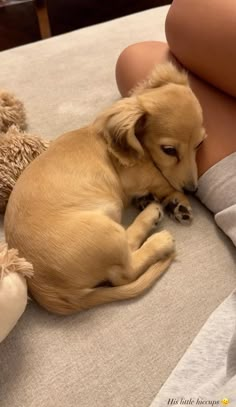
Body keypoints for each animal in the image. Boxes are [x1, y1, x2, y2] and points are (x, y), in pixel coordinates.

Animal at [4, 63, 206, 316]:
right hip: (106, 232)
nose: (192, 189)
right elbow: (161, 179)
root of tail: (49, 293)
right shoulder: (140, 175)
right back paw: (156, 231)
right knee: (125, 270)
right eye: (169, 150)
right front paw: (177, 200)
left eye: (199, 144)